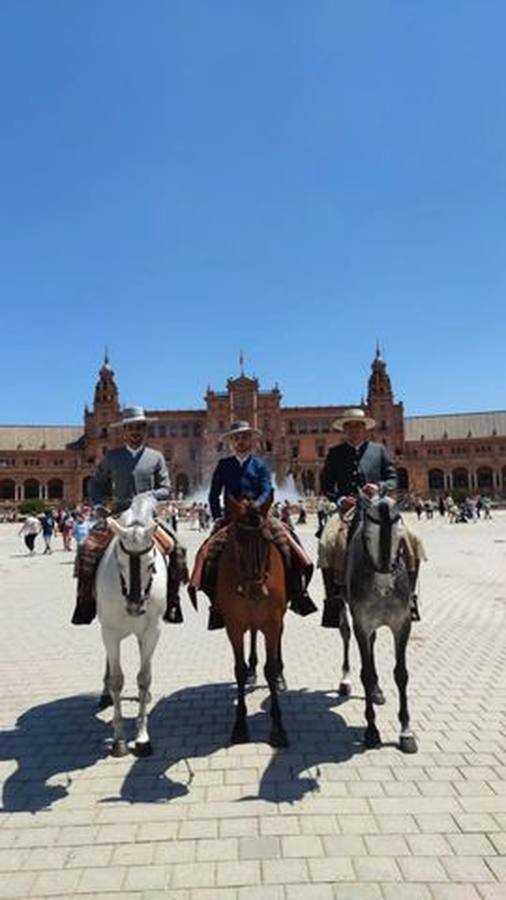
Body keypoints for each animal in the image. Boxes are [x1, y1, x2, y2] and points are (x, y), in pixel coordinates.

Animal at [96, 496, 165, 756]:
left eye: (151, 564)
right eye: (120, 563)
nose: (135, 605)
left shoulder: (152, 631)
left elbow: (144, 678)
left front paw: (143, 737)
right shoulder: (109, 631)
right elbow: (117, 679)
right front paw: (119, 739)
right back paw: (104, 693)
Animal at [216, 500, 288, 744]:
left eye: (267, 541)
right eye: (237, 542)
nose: (255, 590)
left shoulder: (272, 622)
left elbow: (271, 668)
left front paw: (278, 727)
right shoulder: (234, 626)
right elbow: (239, 670)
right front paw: (239, 725)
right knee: (254, 634)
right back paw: (252, 669)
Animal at [346, 492, 418, 752]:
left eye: (399, 532)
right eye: (368, 532)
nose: (386, 582)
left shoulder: (402, 624)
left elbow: (402, 674)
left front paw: (406, 730)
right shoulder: (361, 624)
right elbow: (365, 674)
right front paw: (371, 730)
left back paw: (377, 691)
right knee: (346, 636)